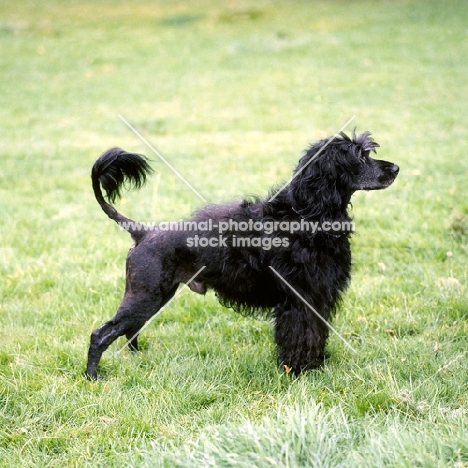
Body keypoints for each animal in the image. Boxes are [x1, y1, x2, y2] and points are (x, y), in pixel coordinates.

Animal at [85, 130, 398, 378]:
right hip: (145, 295)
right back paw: (92, 377)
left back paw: (137, 359)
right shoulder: (300, 298)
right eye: (360, 158)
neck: (307, 214)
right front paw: (298, 370)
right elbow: (301, 334)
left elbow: (315, 334)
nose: (395, 168)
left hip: (154, 296)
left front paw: (317, 364)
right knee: (102, 334)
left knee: (130, 330)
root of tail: (143, 233)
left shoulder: (318, 296)